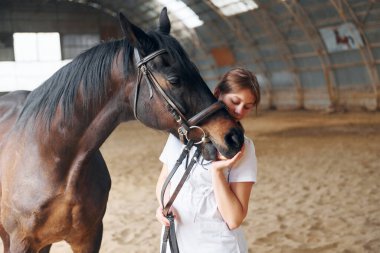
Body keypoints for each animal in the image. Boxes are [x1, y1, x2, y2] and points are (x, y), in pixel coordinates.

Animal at [0, 6, 243, 252]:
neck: (54, 159)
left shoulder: (89, 237)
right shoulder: (23, 241)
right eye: (174, 80)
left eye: (196, 69)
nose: (234, 136)